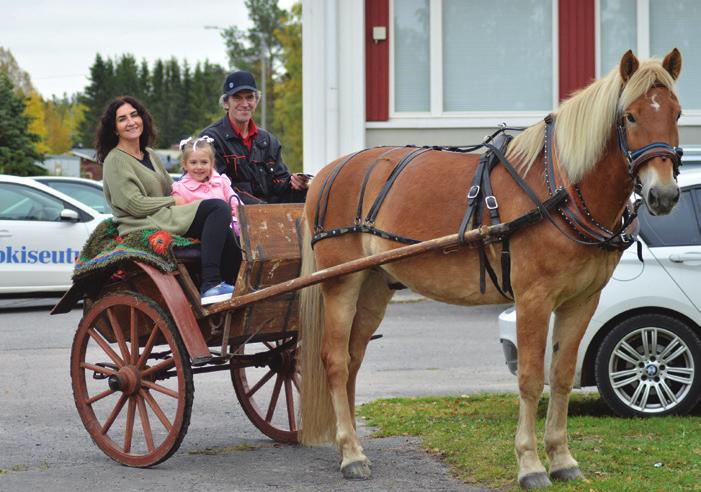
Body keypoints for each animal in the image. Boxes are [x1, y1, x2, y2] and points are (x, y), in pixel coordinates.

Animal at [298, 48, 680, 486]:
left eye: (677, 113)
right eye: (630, 116)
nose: (664, 195)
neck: (560, 189)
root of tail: (324, 175)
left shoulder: (582, 301)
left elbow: (561, 375)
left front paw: (563, 460)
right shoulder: (534, 299)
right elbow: (530, 379)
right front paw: (530, 464)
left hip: (375, 286)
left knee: (353, 360)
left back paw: (352, 445)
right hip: (341, 282)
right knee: (335, 361)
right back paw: (350, 454)